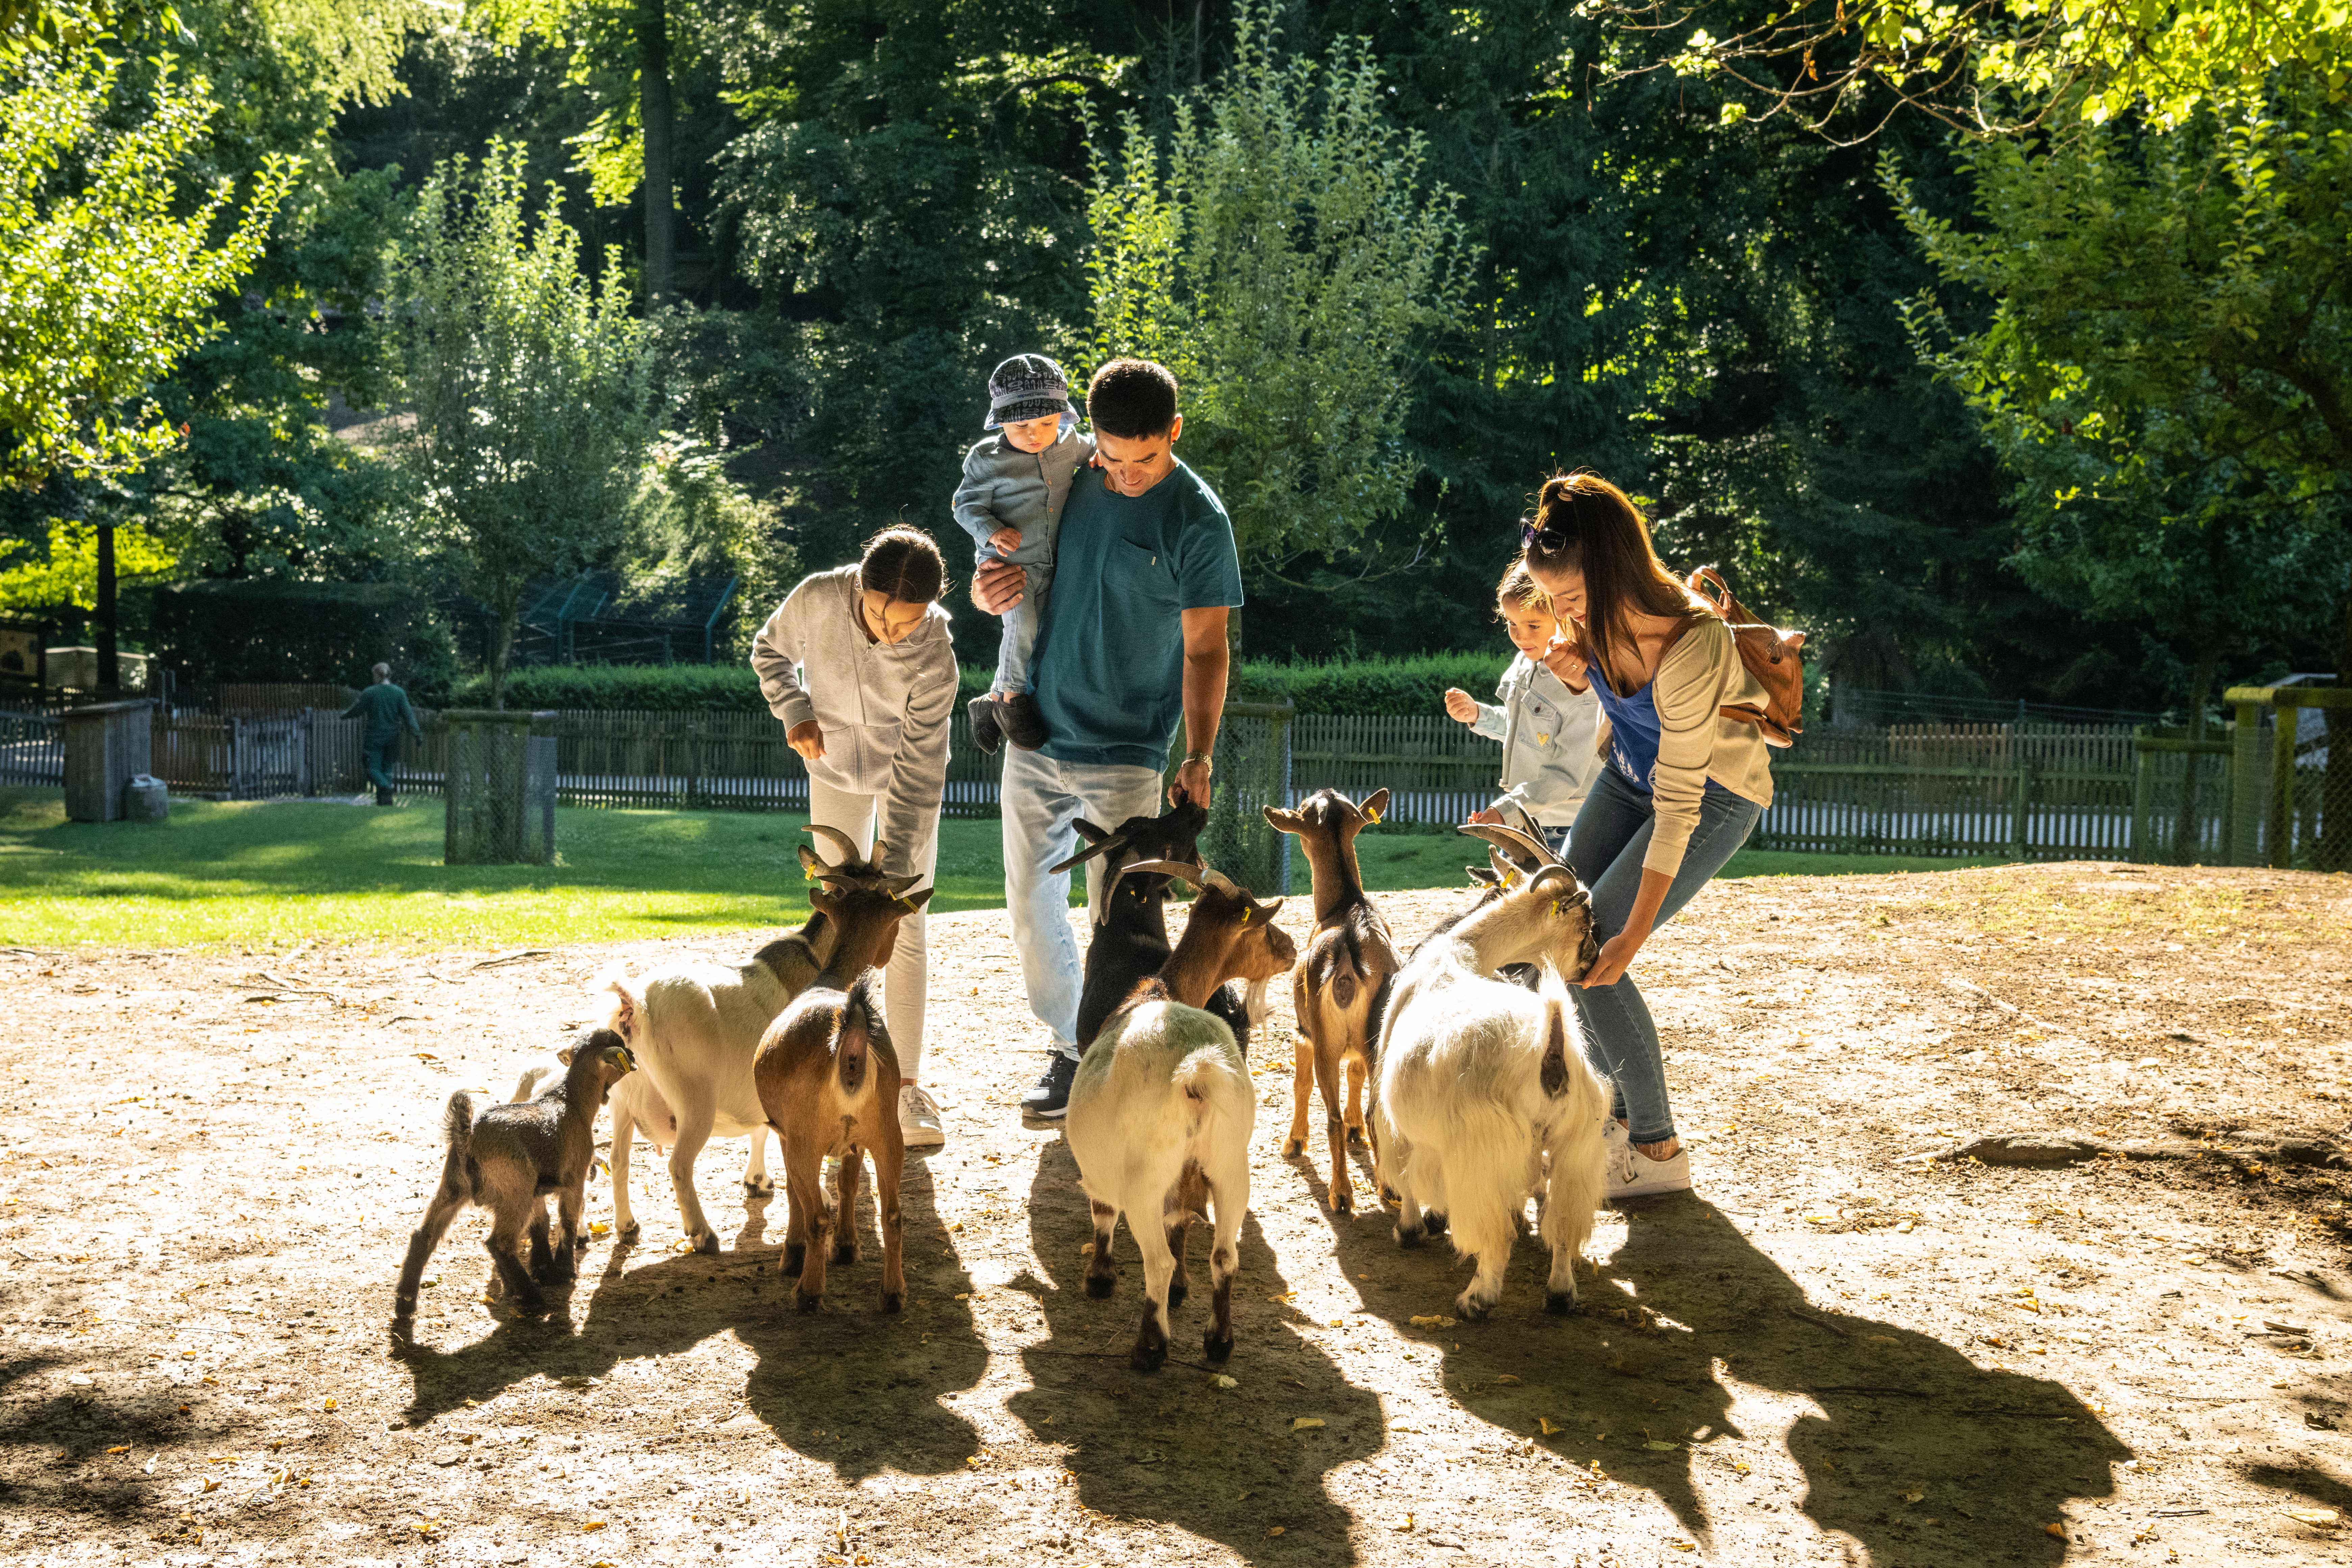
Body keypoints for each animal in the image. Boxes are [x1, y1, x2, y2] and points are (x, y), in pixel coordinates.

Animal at [597, 827, 917, 1260]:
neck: (820, 963)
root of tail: (635, 1004)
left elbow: (762, 1131)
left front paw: (757, 1180)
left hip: (621, 1097)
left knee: (618, 1157)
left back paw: (627, 1226)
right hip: (694, 1098)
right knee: (679, 1163)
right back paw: (703, 1235)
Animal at [753, 884, 936, 1316]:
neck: (833, 977)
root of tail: (850, 1039)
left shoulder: (786, 1132)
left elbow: (795, 1193)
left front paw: (792, 1255)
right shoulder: (855, 1140)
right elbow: (849, 1181)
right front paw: (848, 1247)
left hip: (807, 1137)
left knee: (817, 1215)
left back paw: (807, 1292)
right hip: (888, 1132)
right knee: (894, 1214)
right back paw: (892, 1293)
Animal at [1068, 865, 1289, 1363]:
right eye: (1262, 926)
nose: (1291, 948)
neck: (1161, 989)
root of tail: (1196, 1066)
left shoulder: (1107, 1169)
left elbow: (1102, 1210)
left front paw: (1099, 1278)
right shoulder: (1188, 1176)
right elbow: (1181, 1223)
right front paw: (1182, 1293)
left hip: (1146, 1178)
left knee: (1157, 1261)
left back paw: (1150, 1347)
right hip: (1231, 1167)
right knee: (1225, 1257)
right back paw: (1219, 1342)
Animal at [1260, 785, 1402, 1213]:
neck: (1345, 908)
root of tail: (1351, 945)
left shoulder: (1303, 1032)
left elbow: (1301, 1083)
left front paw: (1293, 1142)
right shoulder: (1358, 1049)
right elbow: (1355, 1075)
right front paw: (1357, 1133)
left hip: (1324, 1040)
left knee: (1332, 1115)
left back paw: (1341, 1194)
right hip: (1380, 1041)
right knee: (1378, 1110)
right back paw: (1391, 1189)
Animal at [1373, 823, 1609, 1326]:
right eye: (1587, 925)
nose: (1594, 959)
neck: (1462, 952)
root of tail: (1550, 1042)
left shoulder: (1394, 1117)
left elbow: (1403, 1171)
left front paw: (1411, 1229)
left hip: (1480, 1149)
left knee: (1495, 1233)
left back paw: (1476, 1299)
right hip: (1577, 1145)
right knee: (1564, 1222)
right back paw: (1560, 1294)